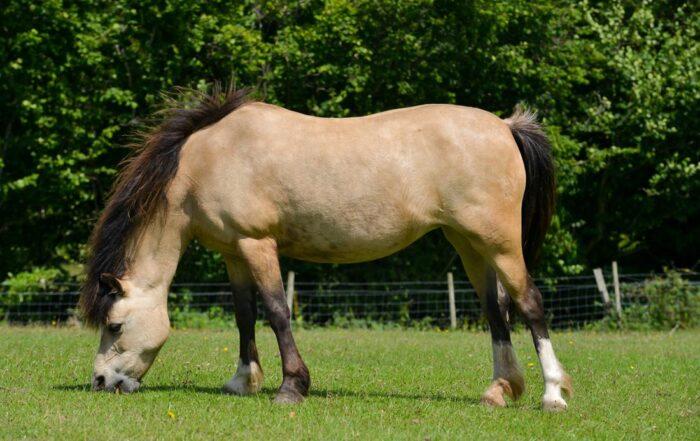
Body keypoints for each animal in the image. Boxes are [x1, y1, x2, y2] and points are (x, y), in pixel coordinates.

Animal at [80, 86, 572, 410]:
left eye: (115, 325)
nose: (101, 381)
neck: (207, 160)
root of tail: (505, 126)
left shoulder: (257, 244)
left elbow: (277, 311)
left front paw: (291, 387)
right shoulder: (234, 252)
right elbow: (244, 314)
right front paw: (242, 382)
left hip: (500, 243)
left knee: (530, 302)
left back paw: (552, 394)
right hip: (470, 244)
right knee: (495, 311)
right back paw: (499, 390)